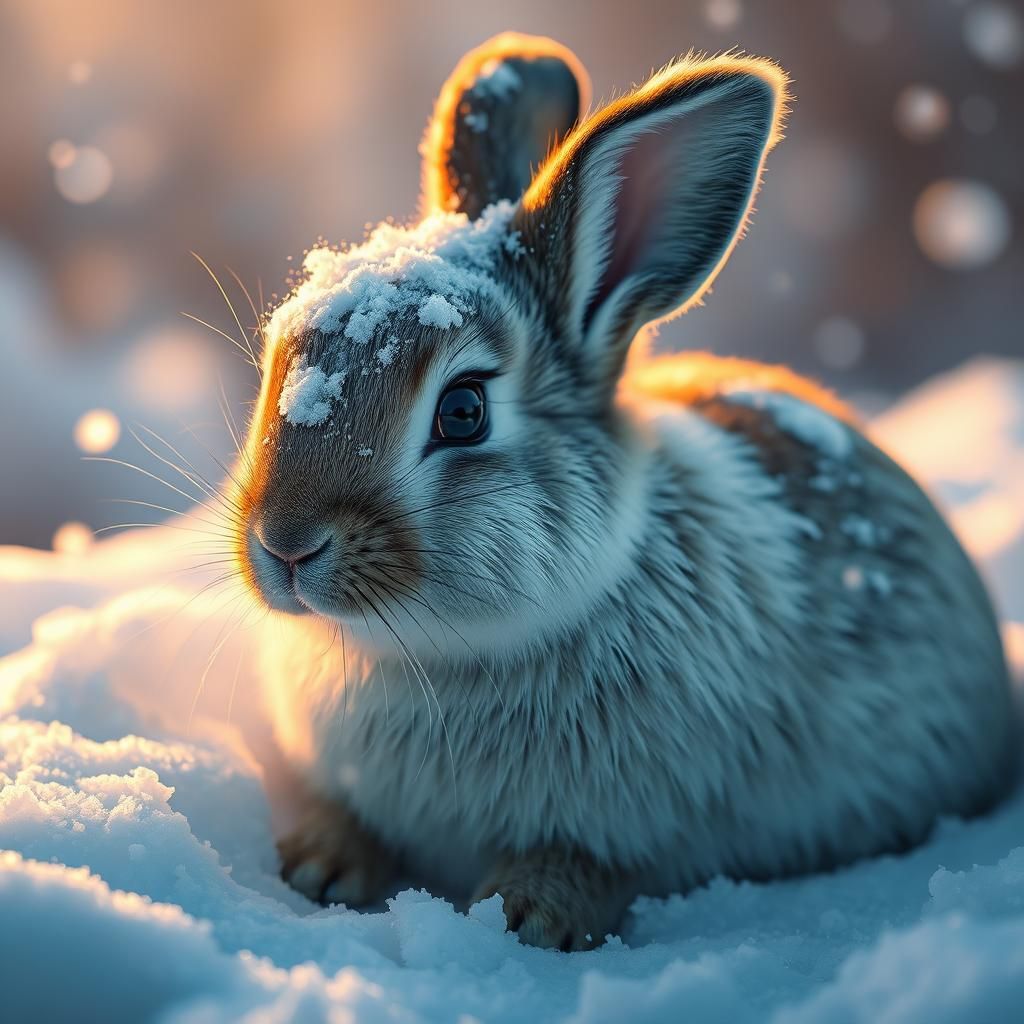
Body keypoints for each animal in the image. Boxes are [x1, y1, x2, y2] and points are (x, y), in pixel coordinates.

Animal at [230, 33, 1017, 950]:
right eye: (279, 351)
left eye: (463, 412)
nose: (285, 544)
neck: (441, 650)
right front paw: (318, 865)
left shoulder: (641, 827)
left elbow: (595, 865)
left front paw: (527, 914)